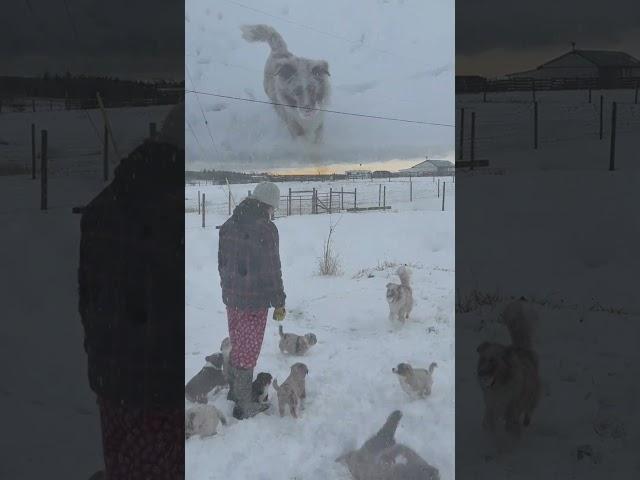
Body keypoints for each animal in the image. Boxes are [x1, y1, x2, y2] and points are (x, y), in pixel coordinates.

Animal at [478, 294, 544, 436]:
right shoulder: (491, 407)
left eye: (493, 360)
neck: (499, 387)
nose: (481, 373)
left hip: (532, 395)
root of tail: (521, 348)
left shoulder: (511, 410)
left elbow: (510, 425)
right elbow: (489, 423)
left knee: (529, 410)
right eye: (483, 359)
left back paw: (526, 422)